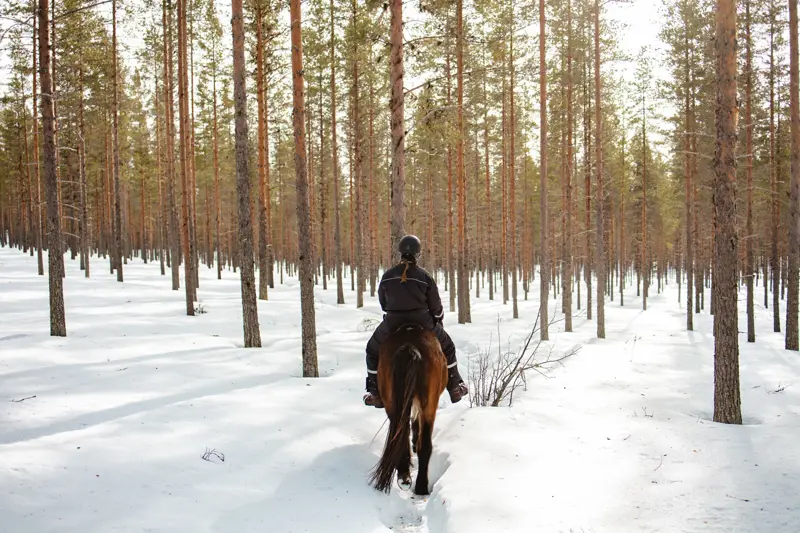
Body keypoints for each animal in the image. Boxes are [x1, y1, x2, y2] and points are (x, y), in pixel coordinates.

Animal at [368, 324, 448, 496]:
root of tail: (409, 347)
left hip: (393, 404)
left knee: (401, 434)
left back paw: (405, 477)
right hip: (429, 406)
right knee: (423, 444)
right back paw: (420, 485)